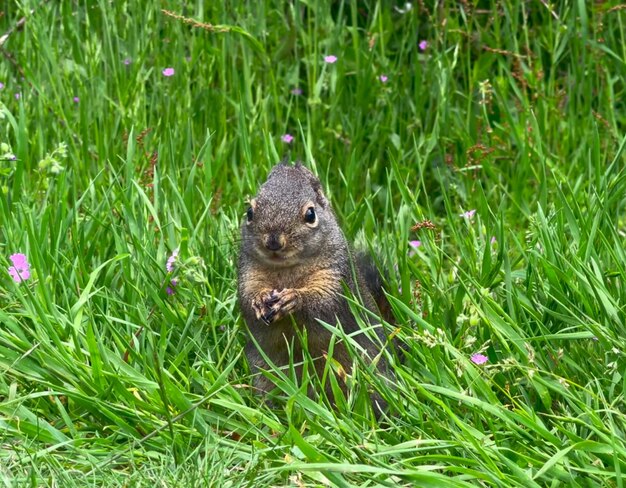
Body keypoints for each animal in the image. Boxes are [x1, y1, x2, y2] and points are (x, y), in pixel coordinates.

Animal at [236, 162, 392, 414]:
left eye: (311, 214)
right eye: (249, 212)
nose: (273, 241)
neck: (286, 270)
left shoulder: (337, 275)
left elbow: (325, 302)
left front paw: (294, 299)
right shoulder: (248, 273)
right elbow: (247, 295)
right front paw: (259, 301)